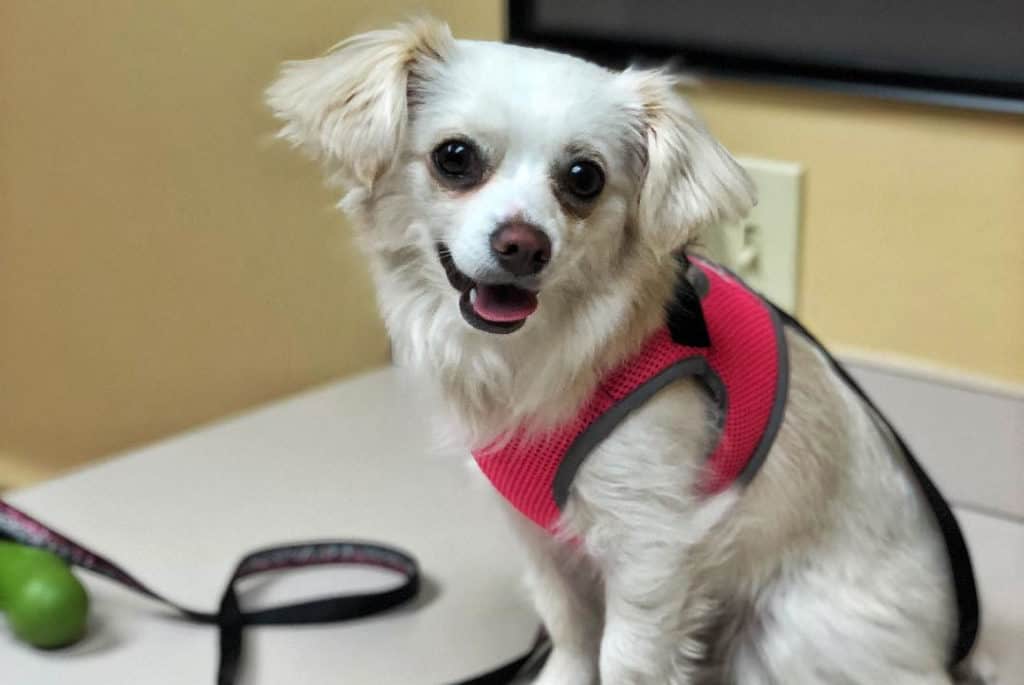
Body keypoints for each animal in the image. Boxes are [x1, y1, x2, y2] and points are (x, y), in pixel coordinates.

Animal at [266, 18, 983, 679]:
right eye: (455, 157)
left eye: (584, 177)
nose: (523, 244)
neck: (534, 358)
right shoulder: (543, 540)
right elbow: (571, 632)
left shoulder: (651, 546)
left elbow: (625, 657)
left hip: (787, 635)